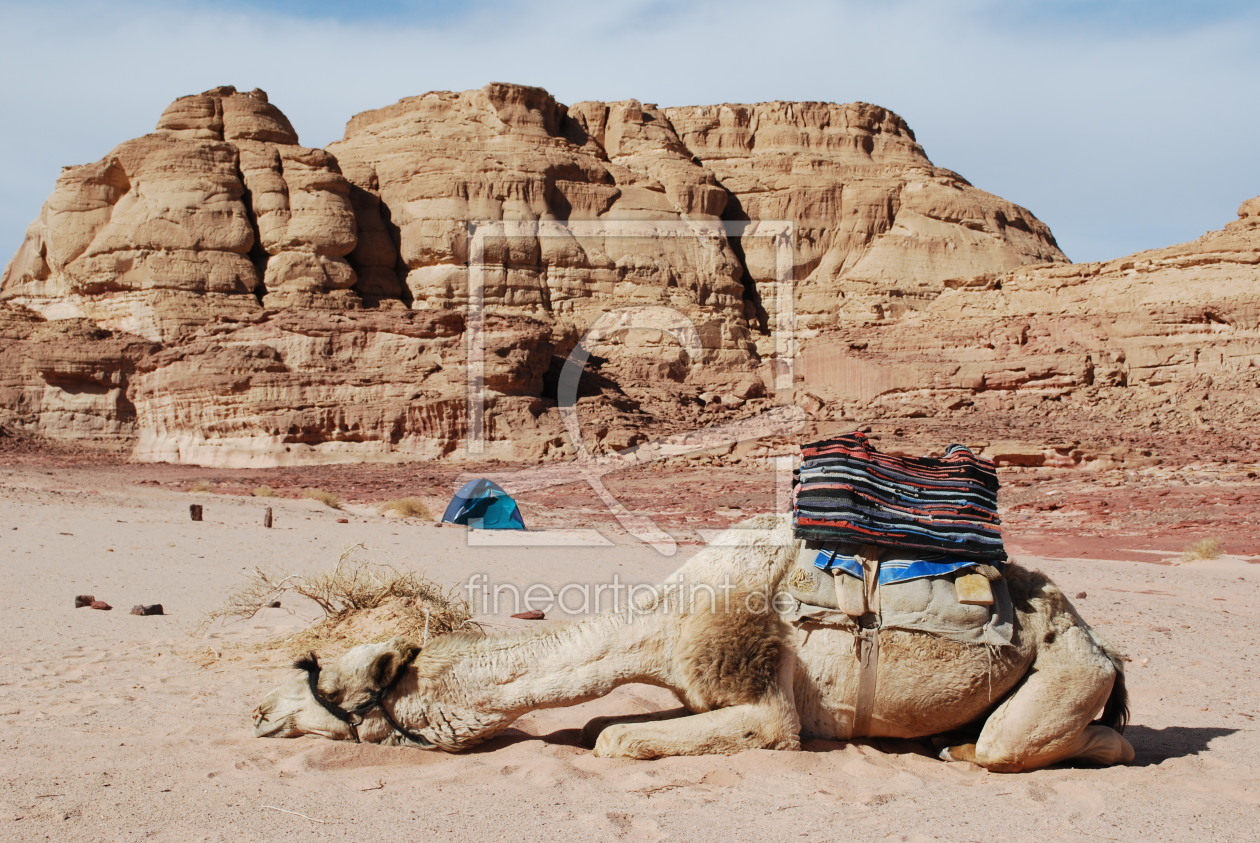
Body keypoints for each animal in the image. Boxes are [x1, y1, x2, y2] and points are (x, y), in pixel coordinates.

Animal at [253, 509, 1134, 771]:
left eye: (326, 679)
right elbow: (604, 722)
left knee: (1020, 744)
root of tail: (1097, 641)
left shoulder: (767, 702)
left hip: (1066, 669)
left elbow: (613, 739)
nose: (257, 713)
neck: (662, 622)